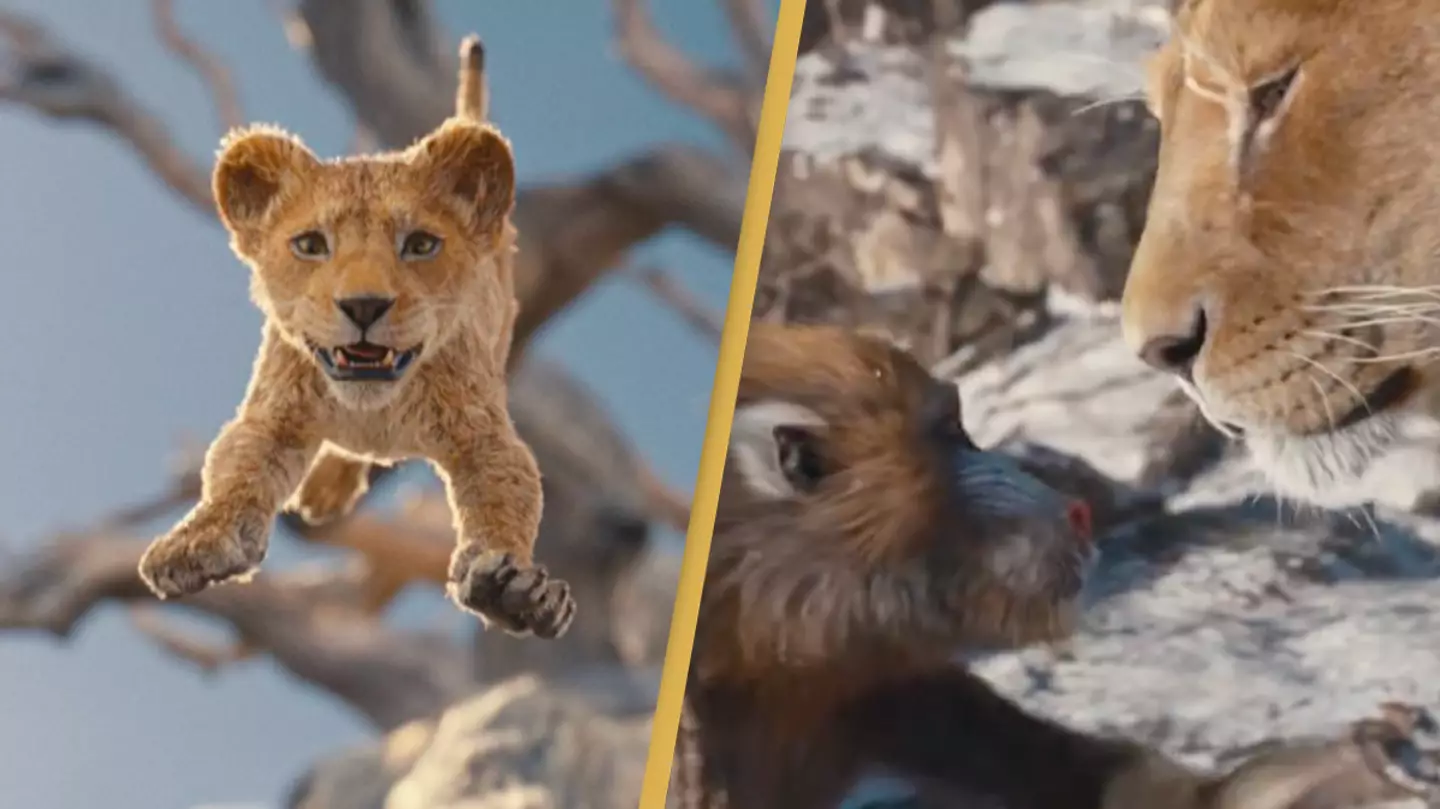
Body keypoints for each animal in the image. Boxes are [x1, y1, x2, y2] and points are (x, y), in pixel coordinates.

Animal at [136, 37, 575, 639]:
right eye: (310, 244)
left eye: (420, 244)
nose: (364, 305)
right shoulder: (272, 416)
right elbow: (233, 473)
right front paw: (196, 543)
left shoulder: (484, 436)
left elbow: (506, 499)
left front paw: (513, 590)